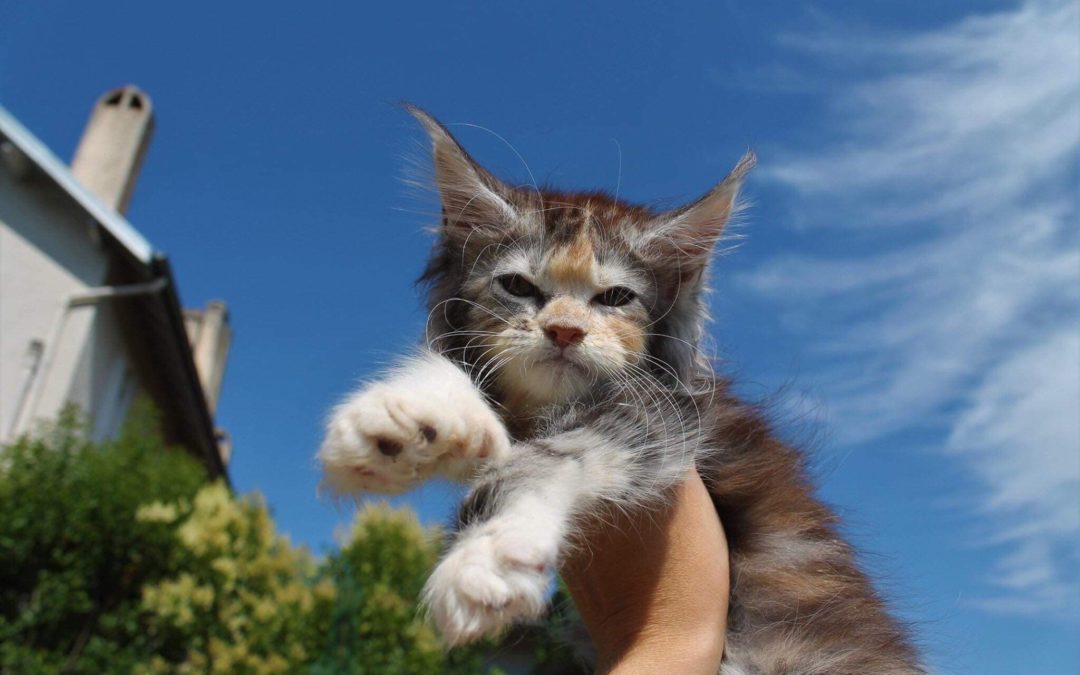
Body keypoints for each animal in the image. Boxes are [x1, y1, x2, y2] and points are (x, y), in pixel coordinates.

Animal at [315, 108, 924, 669]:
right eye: (517, 286)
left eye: (614, 297)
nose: (564, 330)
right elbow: (457, 373)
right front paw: (406, 421)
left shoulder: (666, 416)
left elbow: (552, 458)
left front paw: (490, 557)